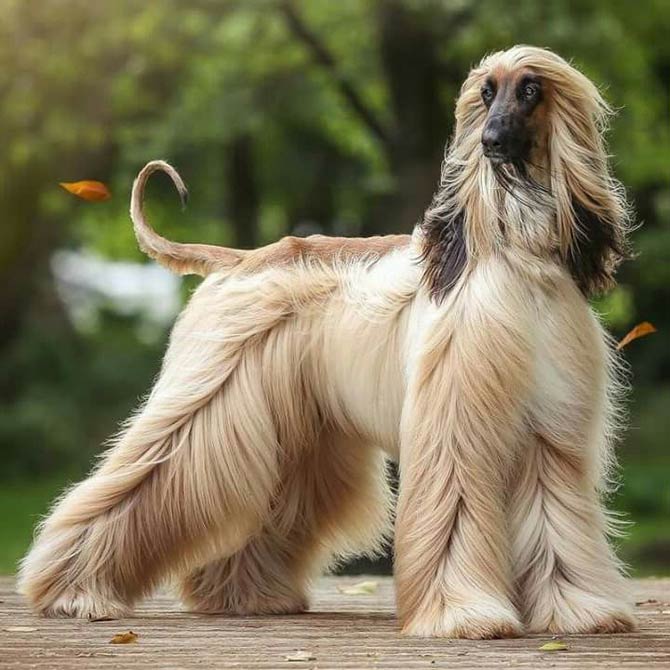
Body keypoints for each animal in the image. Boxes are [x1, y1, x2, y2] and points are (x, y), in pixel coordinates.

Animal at [17, 44, 636, 644]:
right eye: (486, 93)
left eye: (530, 90)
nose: (489, 142)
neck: (515, 254)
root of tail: (238, 259)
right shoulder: (455, 421)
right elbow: (455, 512)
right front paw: (462, 615)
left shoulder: (550, 429)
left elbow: (558, 519)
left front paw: (577, 609)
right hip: (211, 404)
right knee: (141, 480)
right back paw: (71, 591)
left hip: (296, 431)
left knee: (271, 504)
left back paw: (243, 596)